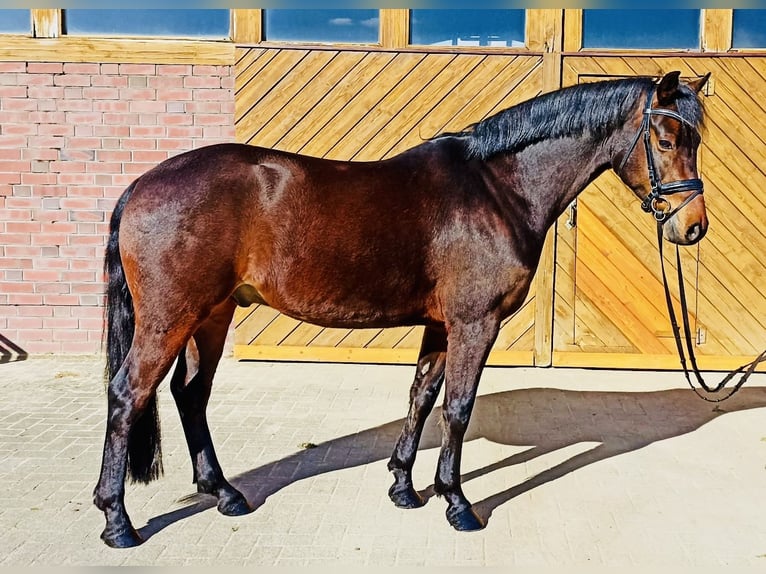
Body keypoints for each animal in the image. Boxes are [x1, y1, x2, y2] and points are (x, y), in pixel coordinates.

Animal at [93, 71, 710, 548]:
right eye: (665, 138)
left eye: (696, 139)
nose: (693, 228)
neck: (498, 188)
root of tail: (140, 185)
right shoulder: (474, 323)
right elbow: (457, 408)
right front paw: (457, 502)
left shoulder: (440, 324)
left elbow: (422, 397)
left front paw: (404, 487)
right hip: (170, 319)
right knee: (129, 395)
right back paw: (118, 521)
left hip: (213, 316)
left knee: (190, 394)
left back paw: (224, 493)